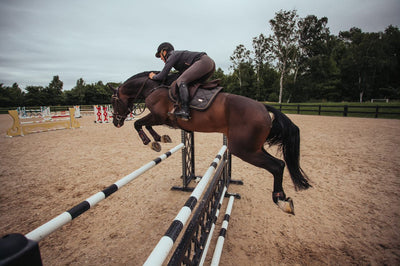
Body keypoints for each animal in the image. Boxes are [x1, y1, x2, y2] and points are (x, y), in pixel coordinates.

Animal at [110, 70, 312, 214]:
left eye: (113, 102)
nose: (116, 123)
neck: (153, 87)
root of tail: (263, 107)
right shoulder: (161, 119)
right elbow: (146, 124)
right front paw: (160, 139)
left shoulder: (159, 116)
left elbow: (138, 123)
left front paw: (150, 141)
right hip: (253, 148)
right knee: (280, 164)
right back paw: (284, 200)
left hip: (244, 150)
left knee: (277, 166)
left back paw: (281, 200)